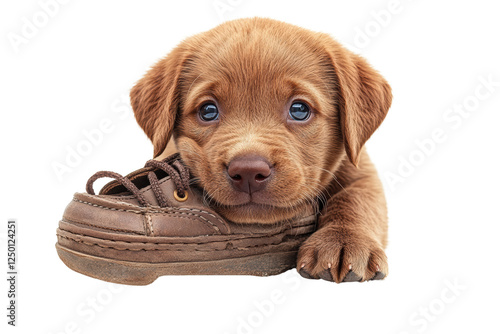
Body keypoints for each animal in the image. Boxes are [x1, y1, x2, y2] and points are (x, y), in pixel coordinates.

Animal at [131, 16, 392, 282]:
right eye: (208, 111)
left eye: (299, 109)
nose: (248, 172)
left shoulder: (360, 167)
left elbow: (356, 199)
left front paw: (343, 241)